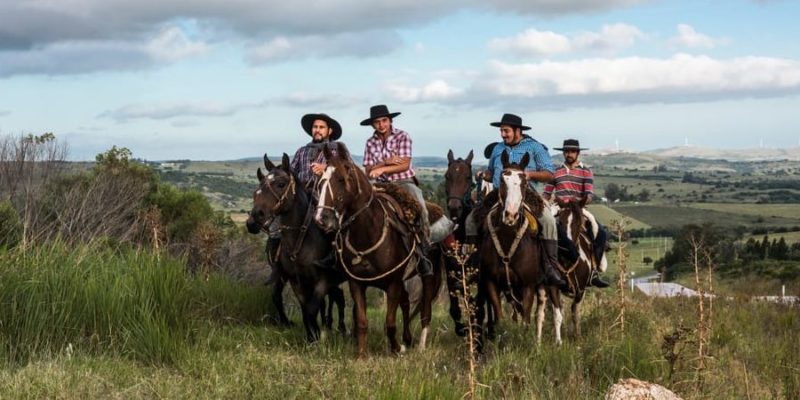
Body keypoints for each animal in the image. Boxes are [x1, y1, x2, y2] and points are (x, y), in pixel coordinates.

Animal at [244, 153, 344, 340]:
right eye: (257, 189)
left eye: (281, 184)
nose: (254, 220)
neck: (302, 239)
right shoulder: (295, 280)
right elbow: (305, 310)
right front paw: (311, 336)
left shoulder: (322, 281)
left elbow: (311, 310)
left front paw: (317, 336)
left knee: (340, 298)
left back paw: (342, 329)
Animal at [314, 143, 438, 356]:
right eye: (321, 182)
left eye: (340, 179)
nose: (322, 218)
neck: (367, 233)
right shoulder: (356, 284)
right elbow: (362, 321)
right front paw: (362, 355)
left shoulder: (393, 283)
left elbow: (390, 323)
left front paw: (396, 349)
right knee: (406, 304)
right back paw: (407, 339)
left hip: (428, 275)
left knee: (425, 312)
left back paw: (420, 344)